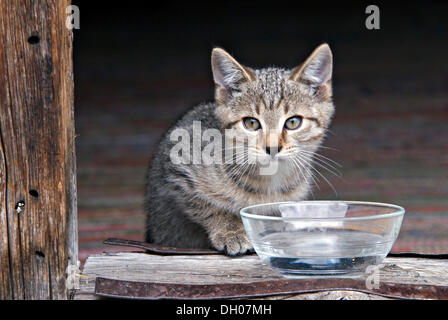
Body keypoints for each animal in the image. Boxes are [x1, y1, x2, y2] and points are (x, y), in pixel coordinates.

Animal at [145, 43, 334, 256]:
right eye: (251, 123)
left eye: (293, 122)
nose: (272, 147)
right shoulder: (177, 164)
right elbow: (206, 205)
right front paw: (230, 231)